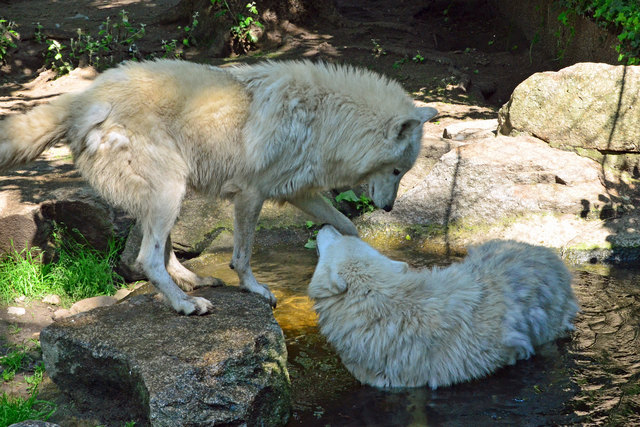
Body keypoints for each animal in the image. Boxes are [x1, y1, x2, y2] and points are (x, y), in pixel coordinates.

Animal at [0, 59, 437, 315]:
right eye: (397, 170)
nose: (389, 210)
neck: (326, 118)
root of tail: (83, 98)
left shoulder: (298, 192)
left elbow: (348, 227)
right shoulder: (251, 195)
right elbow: (242, 256)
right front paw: (257, 291)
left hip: (171, 192)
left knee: (157, 253)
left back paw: (195, 281)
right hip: (170, 189)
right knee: (145, 260)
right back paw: (185, 304)